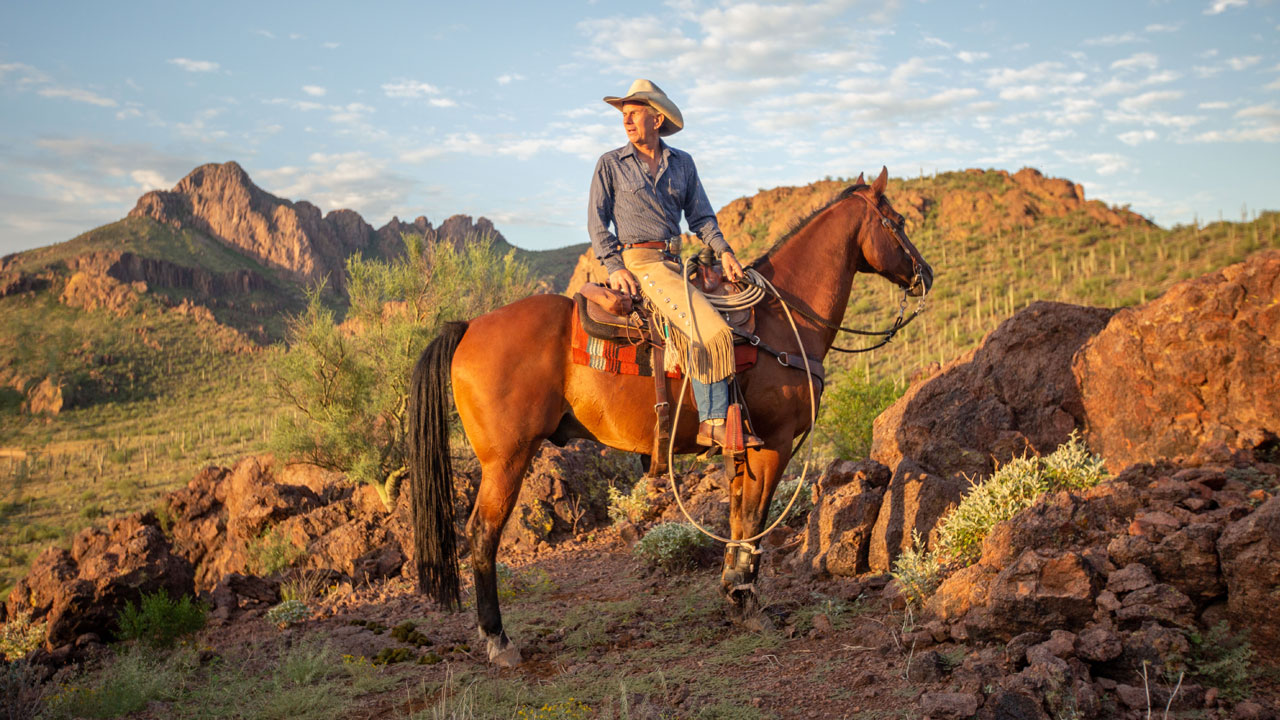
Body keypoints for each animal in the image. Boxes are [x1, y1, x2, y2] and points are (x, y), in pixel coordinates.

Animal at [407, 165, 931, 666]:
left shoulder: (742, 449)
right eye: (898, 221)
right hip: (507, 459)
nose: (926, 273)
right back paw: (498, 640)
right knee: (482, 534)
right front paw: (748, 602)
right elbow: (754, 519)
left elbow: (738, 517)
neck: (782, 323)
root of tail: (468, 326)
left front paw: (733, 593)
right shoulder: (775, 444)